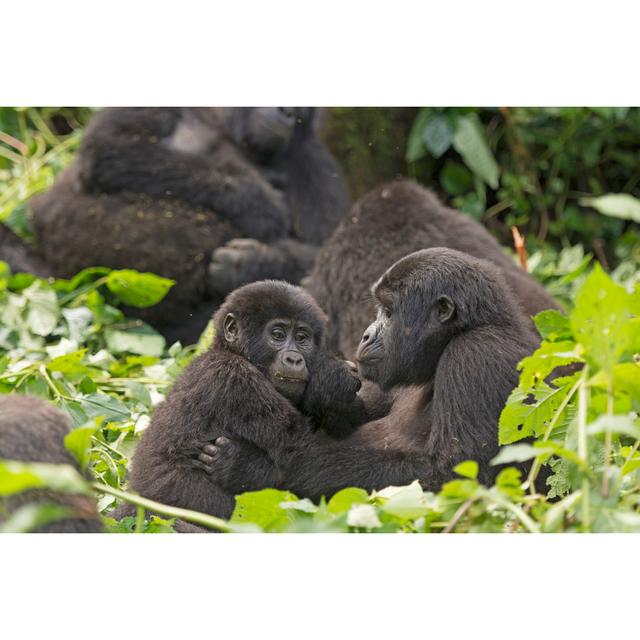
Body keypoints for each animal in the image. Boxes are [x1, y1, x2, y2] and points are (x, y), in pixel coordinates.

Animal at [199, 248, 544, 502]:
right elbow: (353, 415)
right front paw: (329, 381)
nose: (365, 335)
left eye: (389, 313)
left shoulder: (476, 355)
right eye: (380, 310)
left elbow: (452, 478)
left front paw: (258, 469)